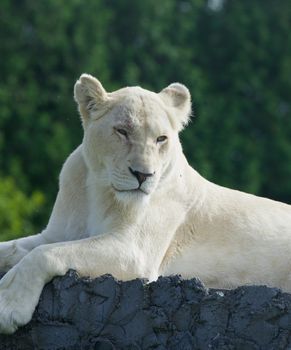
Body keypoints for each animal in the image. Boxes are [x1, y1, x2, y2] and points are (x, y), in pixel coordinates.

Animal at [0, 74, 291, 334]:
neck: (98, 190)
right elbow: (18, 248)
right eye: (122, 131)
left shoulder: (134, 251)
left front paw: (9, 306)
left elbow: (46, 254)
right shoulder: (56, 233)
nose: (143, 175)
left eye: (161, 138)